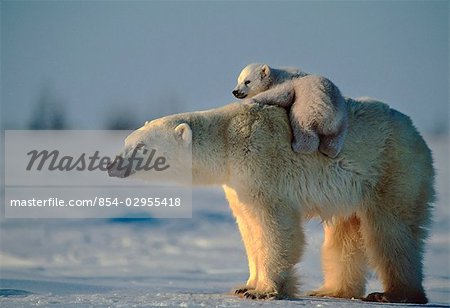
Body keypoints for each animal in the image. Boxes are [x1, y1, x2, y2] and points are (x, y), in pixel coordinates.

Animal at [107, 98, 434, 304]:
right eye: (126, 142)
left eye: (140, 147)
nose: (112, 165)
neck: (228, 140)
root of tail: (417, 132)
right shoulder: (238, 183)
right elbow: (249, 226)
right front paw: (245, 285)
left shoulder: (262, 163)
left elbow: (274, 226)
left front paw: (264, 290)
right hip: (355, 189)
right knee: (345, 234)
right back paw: (330, 290)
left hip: (392, 170)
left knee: (390, 230)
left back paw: (394, 294)